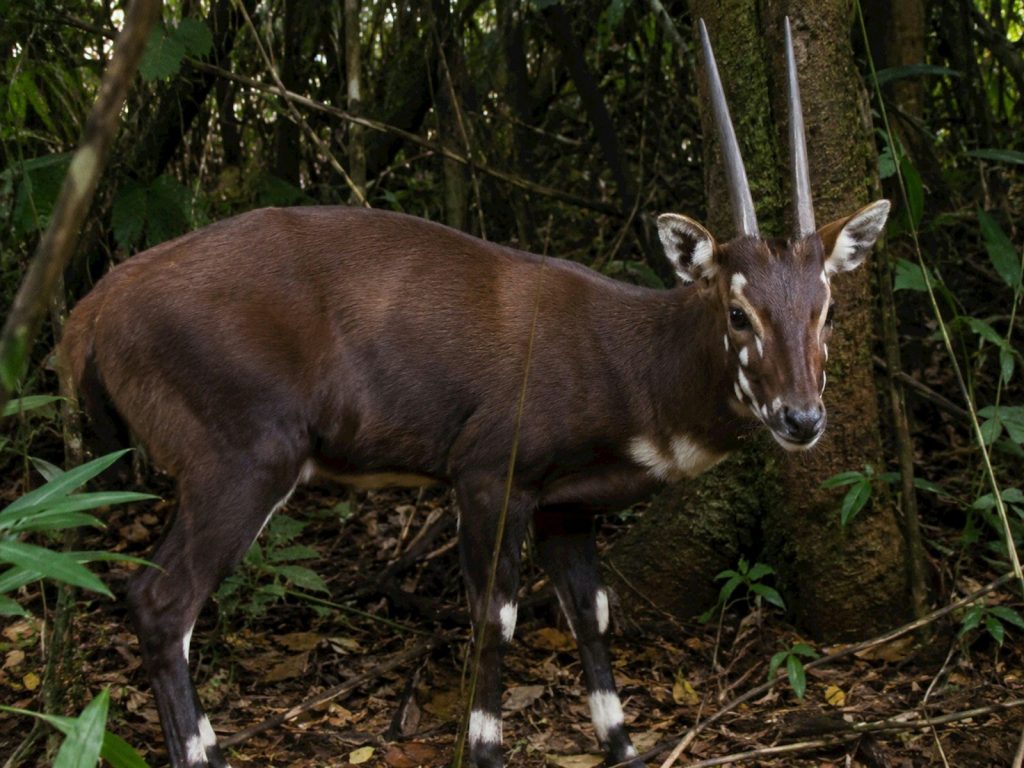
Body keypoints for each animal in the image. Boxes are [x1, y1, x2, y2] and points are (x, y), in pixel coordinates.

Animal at [61, 18, 888, 768]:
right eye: (738, 309)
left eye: (826, 306)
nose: (802, 418)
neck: (628, 355)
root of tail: (93, 311)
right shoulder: (489, 474)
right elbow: (496, 617)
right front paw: (486, 749)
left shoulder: (566, 504)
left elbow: (591, 613)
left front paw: (623, 747)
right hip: (242, 460)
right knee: (161, 603)